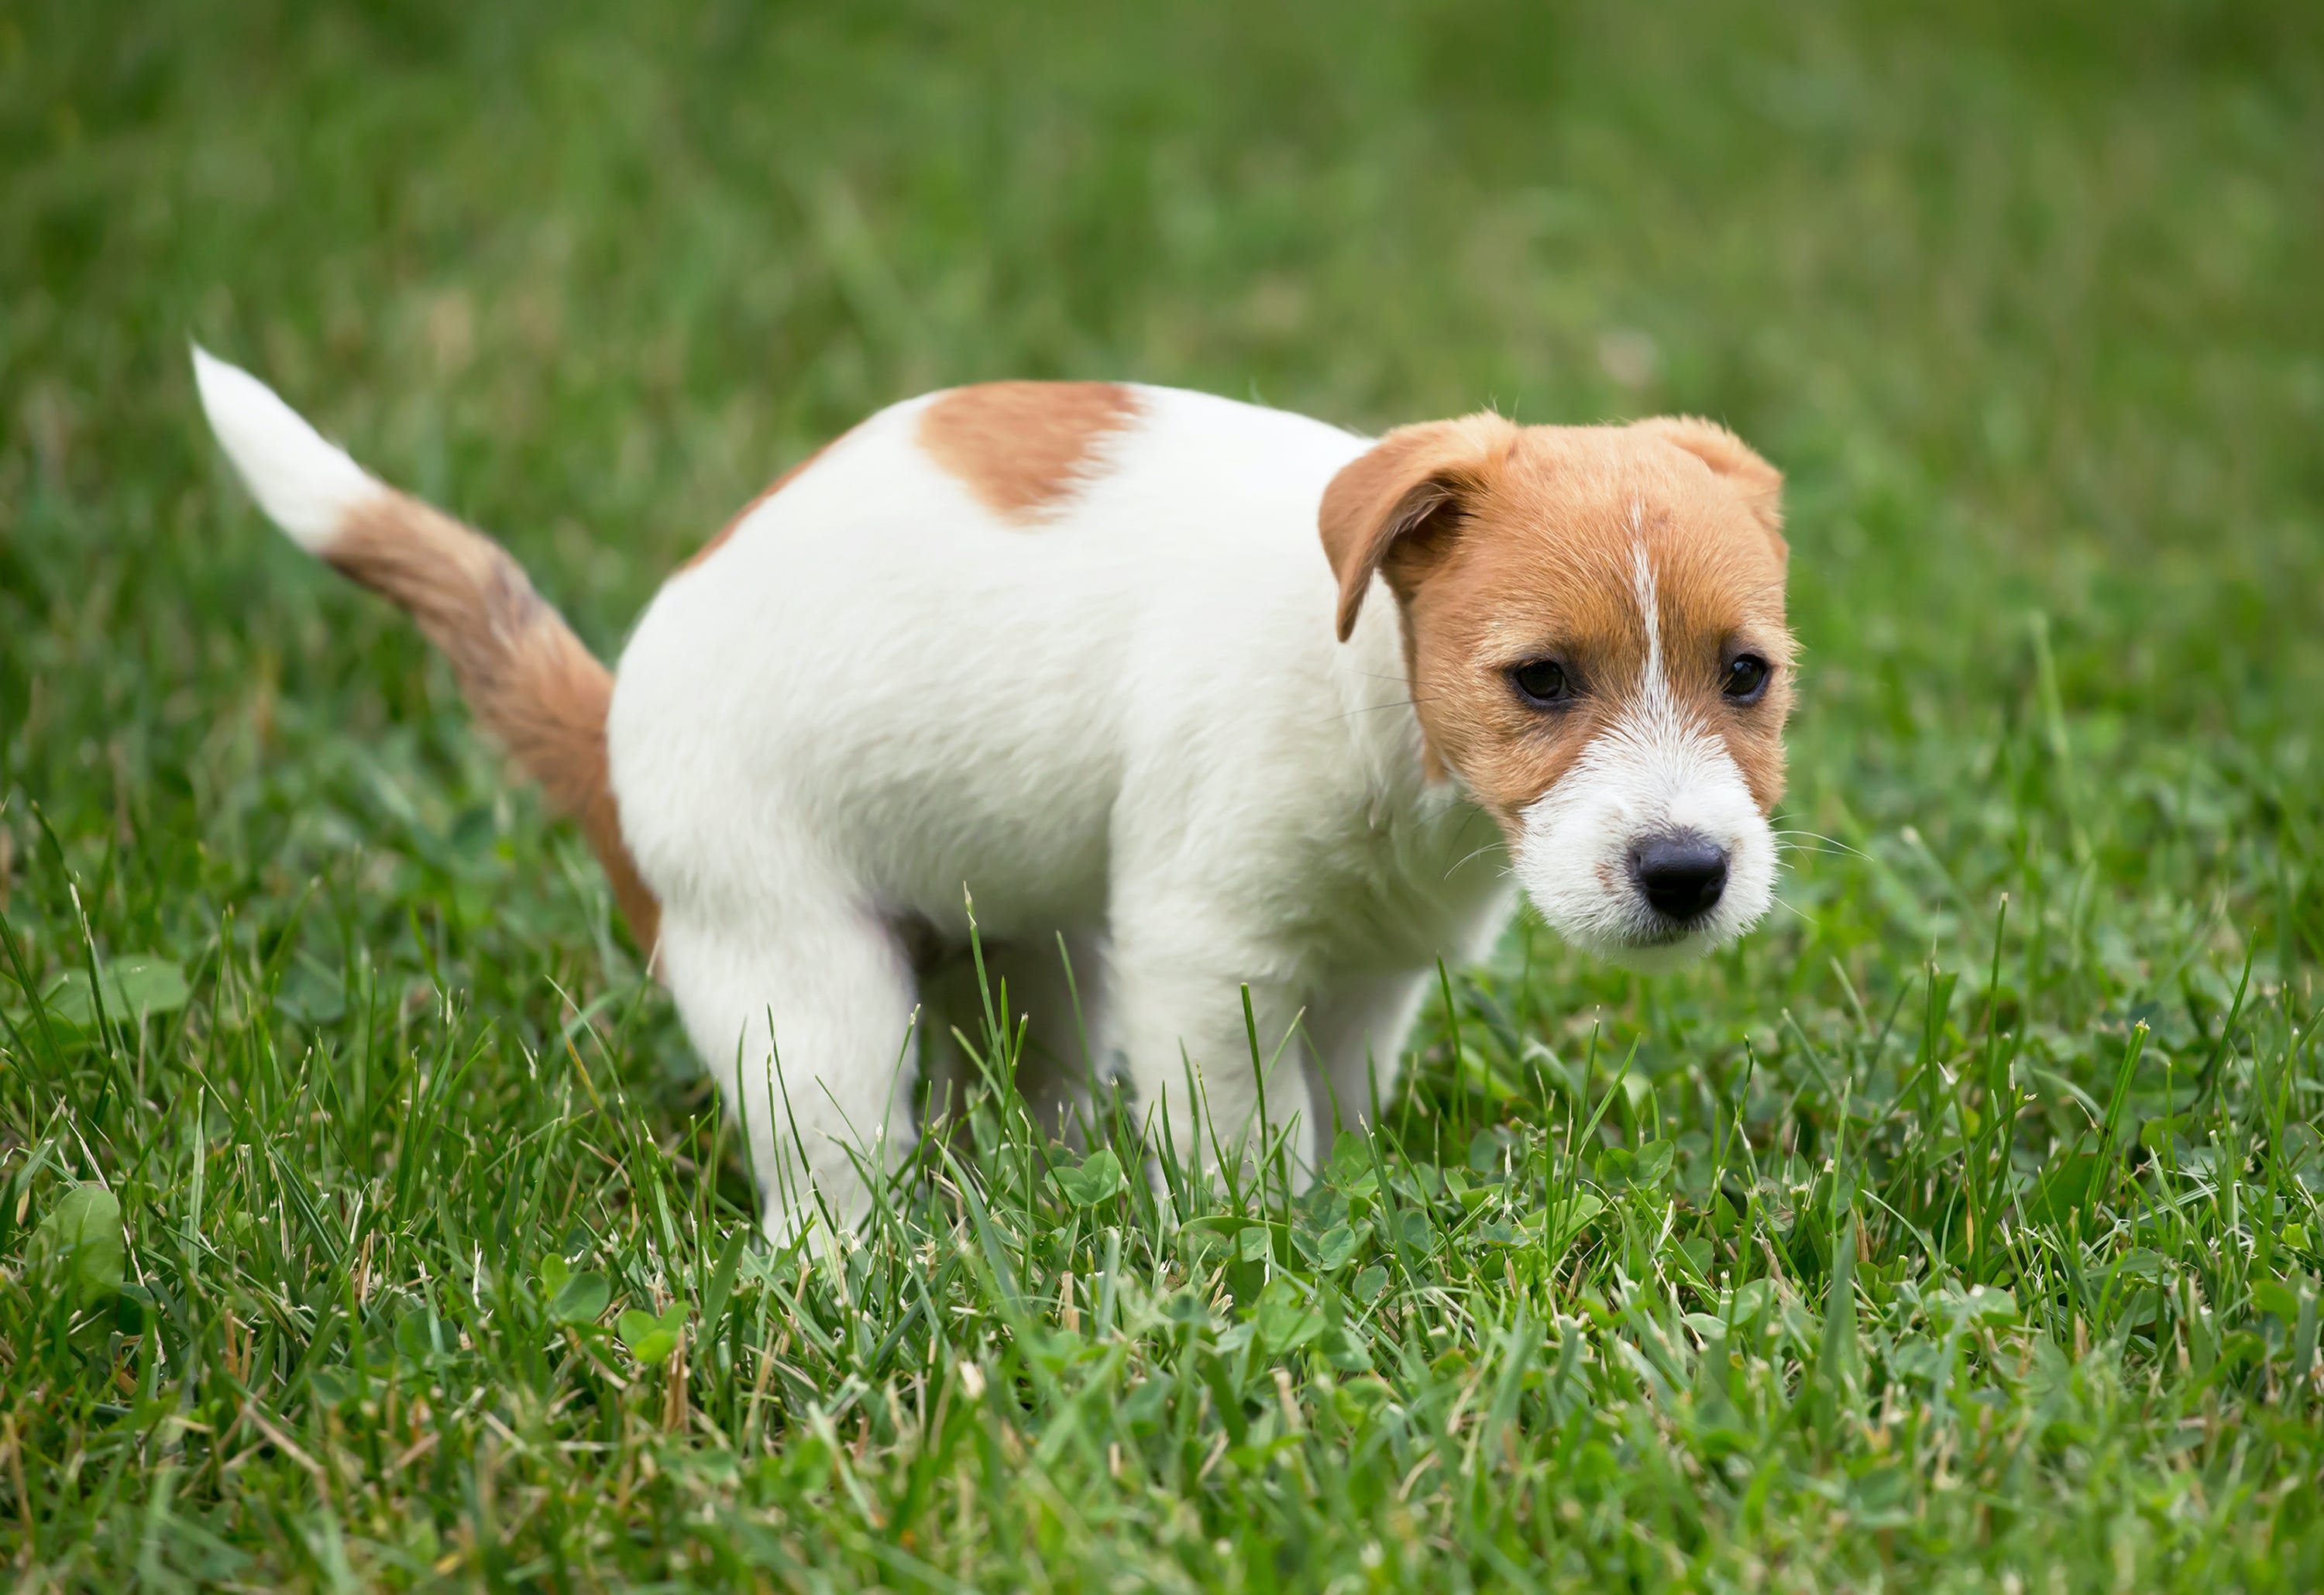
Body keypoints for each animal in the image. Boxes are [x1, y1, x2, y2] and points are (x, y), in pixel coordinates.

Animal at [200, 353, 1794, 1246]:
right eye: (1539, 680)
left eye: (1747, 674)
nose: (1686, 870)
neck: (1380, 699)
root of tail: (608, 735)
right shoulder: (1209, 957)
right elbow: (1247, 1138)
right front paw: (1259, 1238)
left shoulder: (1367, 974)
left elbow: (1330, 1108)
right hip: (808, 998)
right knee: (821, 1192)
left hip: (1034, 961)